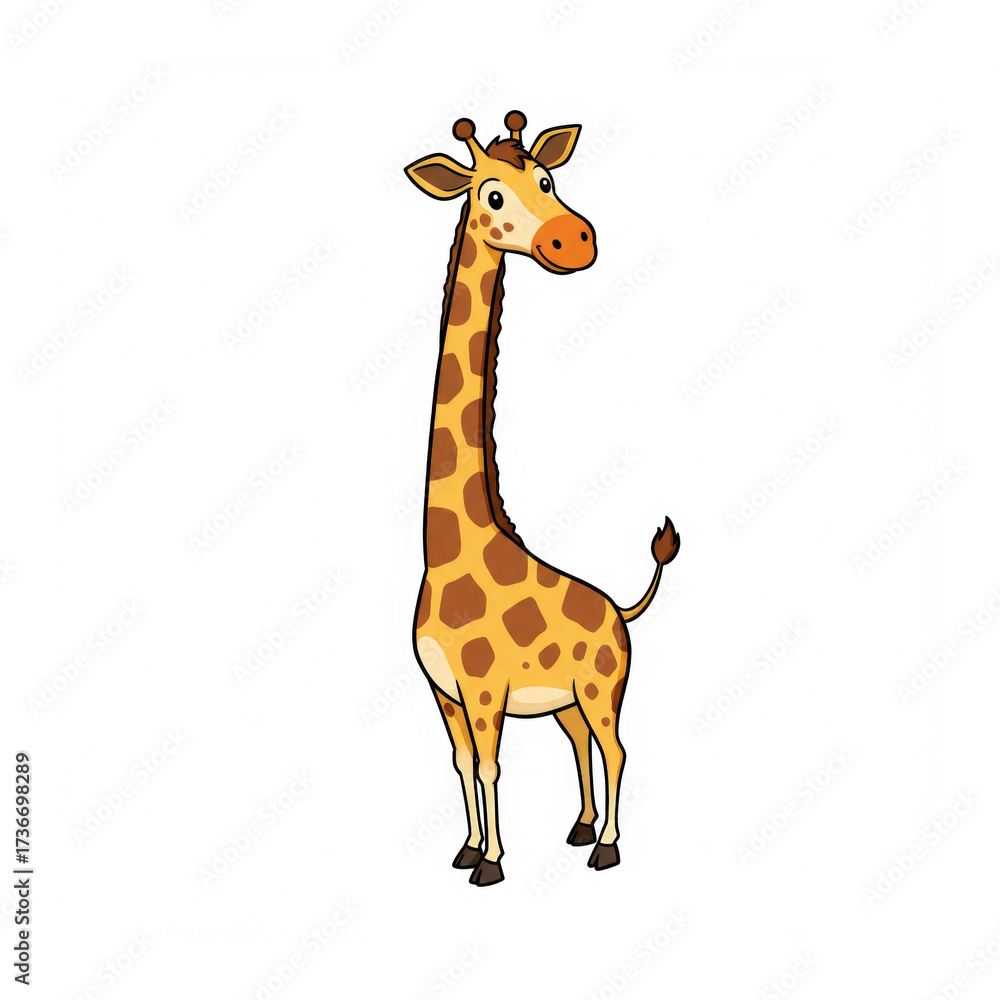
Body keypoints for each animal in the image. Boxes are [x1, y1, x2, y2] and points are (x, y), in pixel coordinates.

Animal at [406, 111, 680, 887]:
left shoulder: (485, 691)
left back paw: (607, 847)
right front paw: (468, 849)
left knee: (616, 748)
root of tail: (621, 608)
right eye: (492, 194)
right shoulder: (443, 692)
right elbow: (463, 763)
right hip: (568, 701)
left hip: (604, 686)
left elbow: (491, 766)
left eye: (549, 179)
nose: (573, 239)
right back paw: (581, 827)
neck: (446, 552)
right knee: (582, 744)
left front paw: (491, 864)